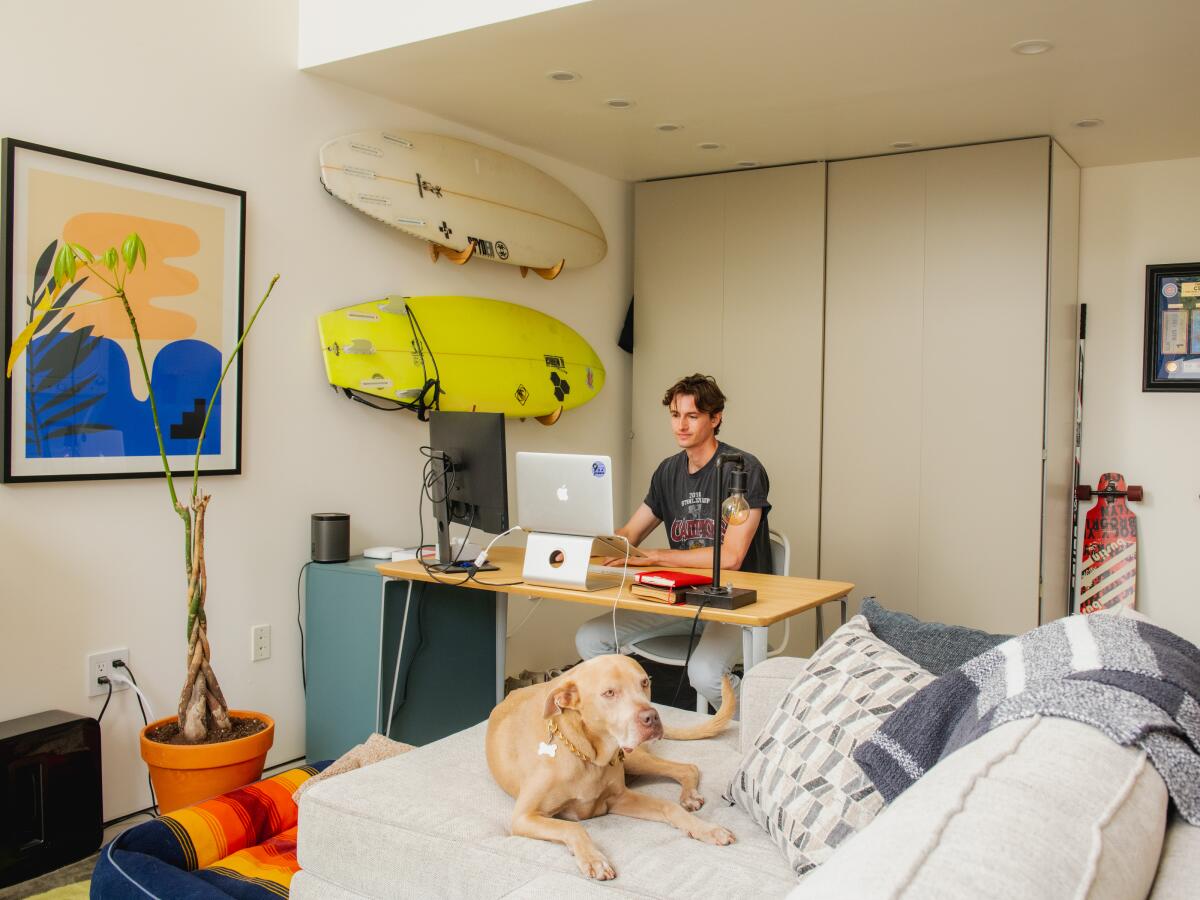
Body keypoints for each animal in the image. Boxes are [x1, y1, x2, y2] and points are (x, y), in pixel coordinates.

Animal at [484, 657, 729, 883]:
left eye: (644, 683)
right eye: (609, 693)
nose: (652, 717)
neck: (586, 755)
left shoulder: (619, 798)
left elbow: (669, 806)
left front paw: (707, 829)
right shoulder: (524, 817)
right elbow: (572, 828)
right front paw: (594, 859)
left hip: (633, 757)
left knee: (688, 768)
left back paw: (689, 796)